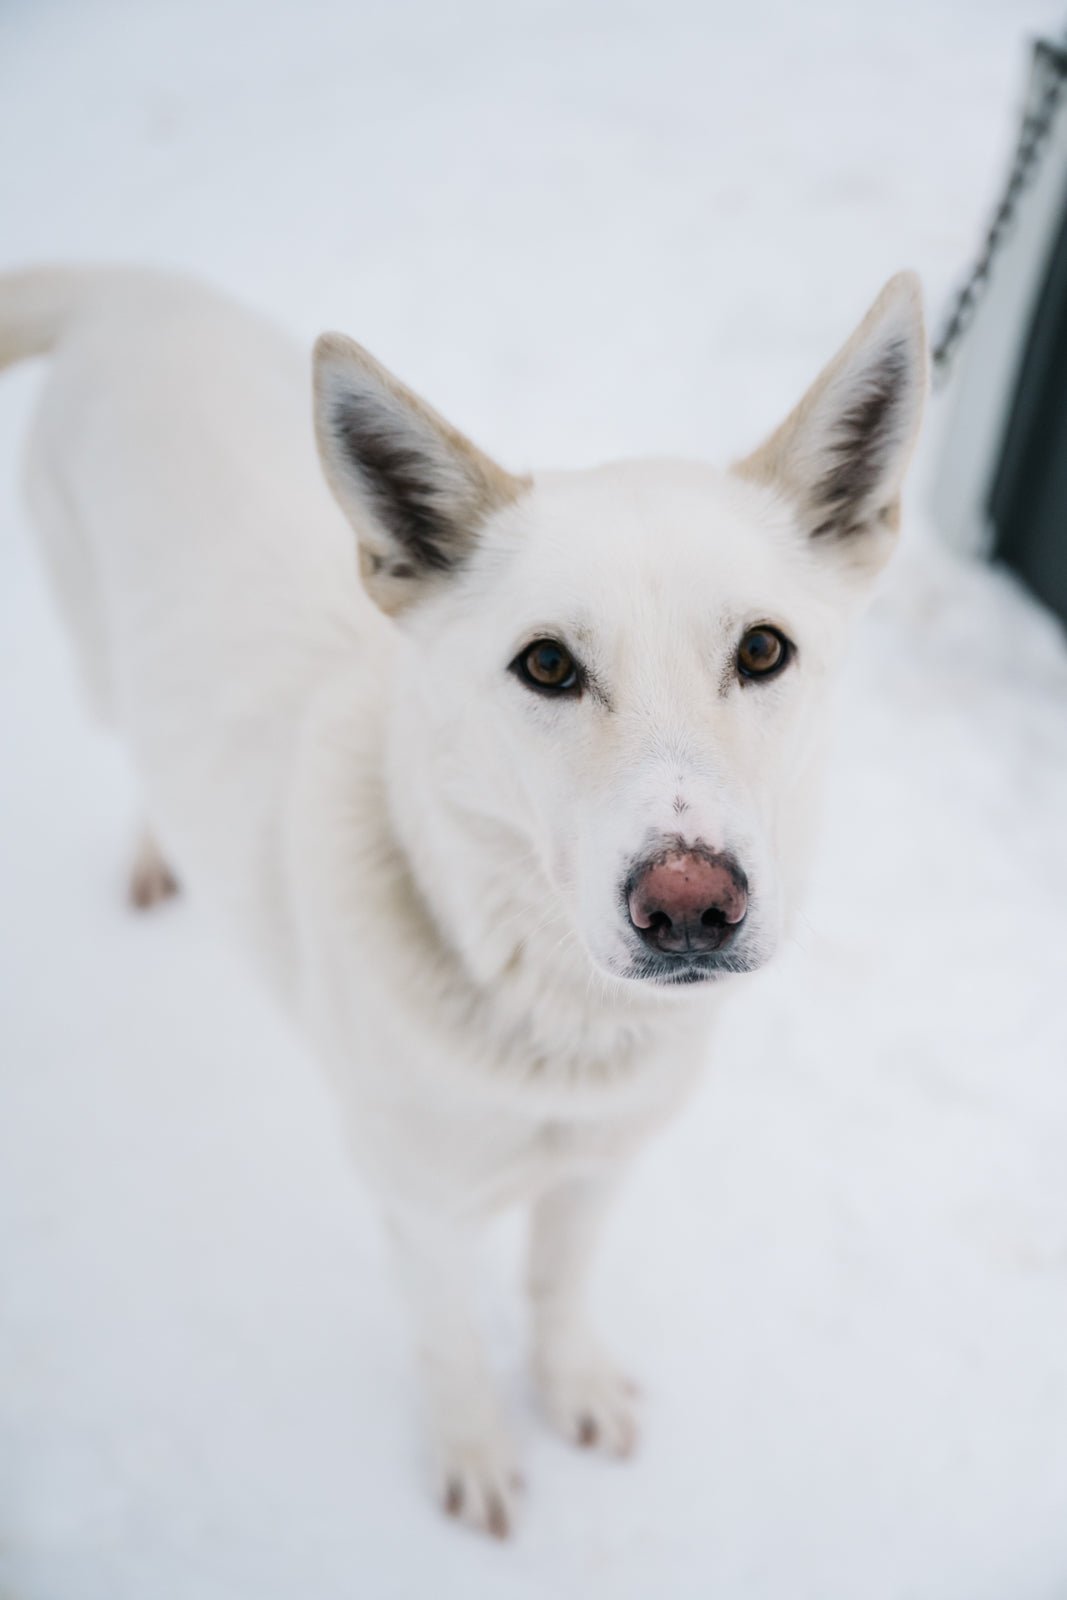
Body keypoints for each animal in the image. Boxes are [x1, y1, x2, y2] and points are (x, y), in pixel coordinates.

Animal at [0, 262, 927, 1536]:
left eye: (760, 651)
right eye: (545, 665)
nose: (690, 905)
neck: (551, 1024)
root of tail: (134, 294)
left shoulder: (597, 1170)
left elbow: (555, 1286)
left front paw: (570, 1384)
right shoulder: (419, 1212)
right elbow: (448, 1344)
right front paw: (477, 1451)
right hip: (96, 658)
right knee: (128, 745)